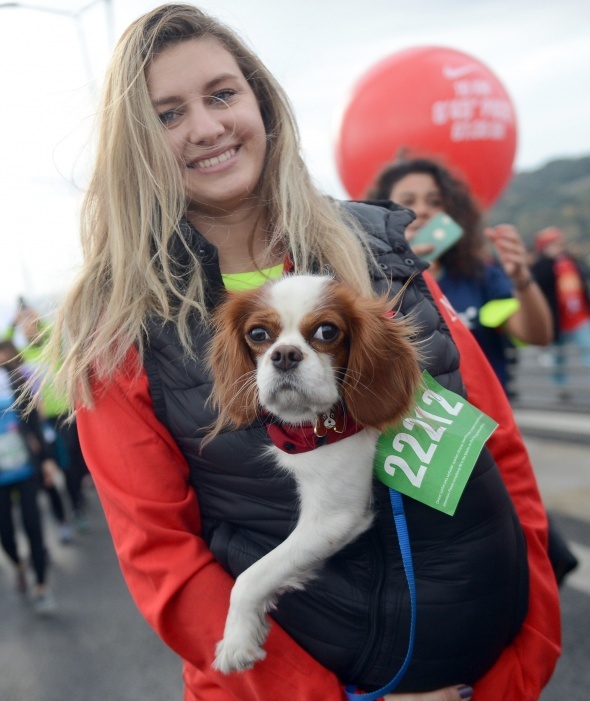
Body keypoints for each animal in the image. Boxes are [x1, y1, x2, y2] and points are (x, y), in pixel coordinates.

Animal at [206, 272, 424, 672]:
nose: (285, 354)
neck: (313, 428)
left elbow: (250, 576)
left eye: (326, 331)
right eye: (258, 334)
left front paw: (237, 640)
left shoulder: (334, 520)